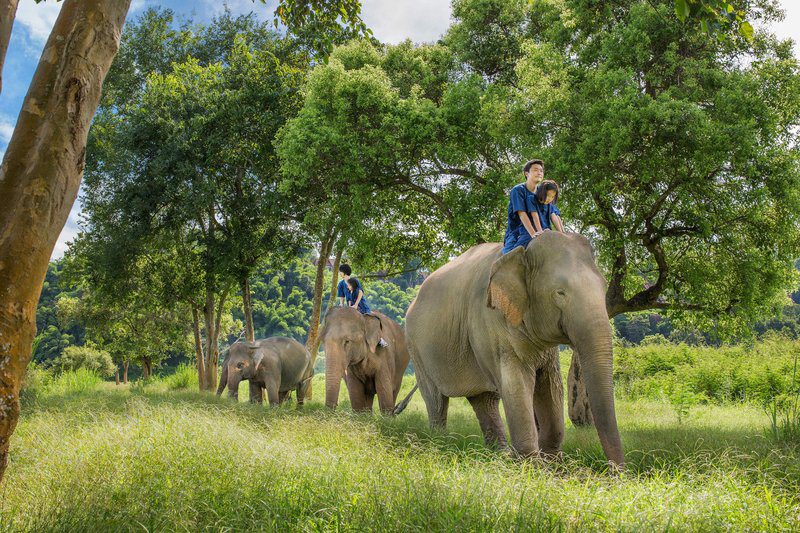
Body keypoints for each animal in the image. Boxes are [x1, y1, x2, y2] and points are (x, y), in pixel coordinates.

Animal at [405, 232, 624, 467]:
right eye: (560, 293)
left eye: (603, 286)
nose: (616, 470)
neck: (522, 252)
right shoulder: (491, 321)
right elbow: (516, 384)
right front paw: (531, 465)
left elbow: (551, 384)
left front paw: (553, 462)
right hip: (416, 348)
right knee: (436, 399)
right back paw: (439, 444)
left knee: (485, 400)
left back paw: (499, 454)